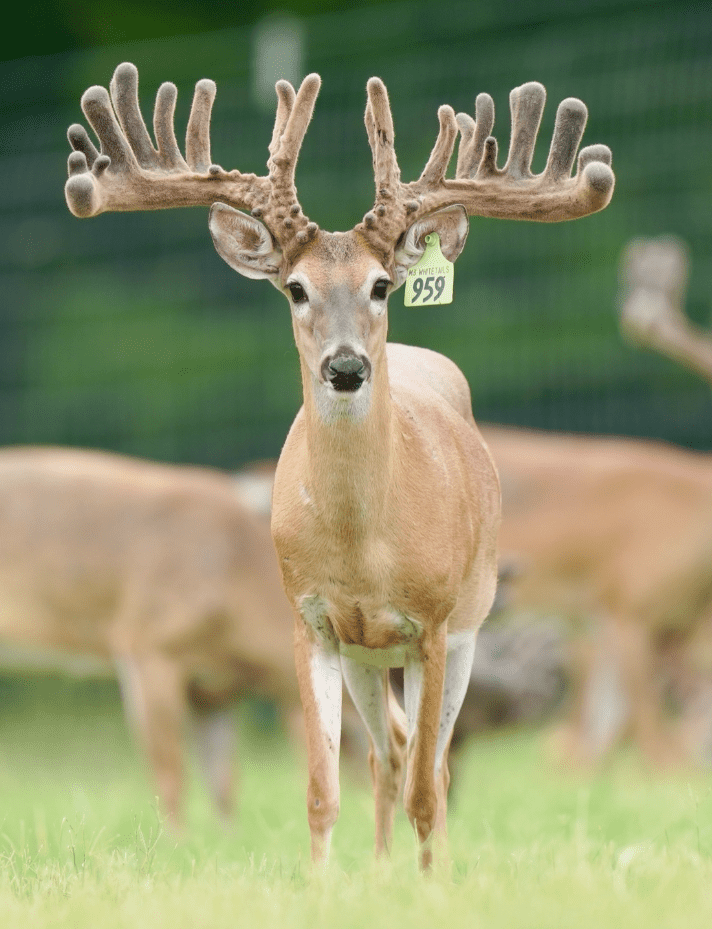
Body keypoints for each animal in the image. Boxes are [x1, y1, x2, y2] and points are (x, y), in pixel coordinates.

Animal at [64, 61, 615, 868]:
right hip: (367, 654)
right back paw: (382, 870)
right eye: (296, 289)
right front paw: (328, 881)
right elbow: (323, 788)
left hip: (469, 621)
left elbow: (428, 786)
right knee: (387, 752)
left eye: (382, 285)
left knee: (430, 761)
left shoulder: (435, 623)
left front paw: (432, 882)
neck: (364, 548)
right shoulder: (311, 619)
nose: (347, 366)